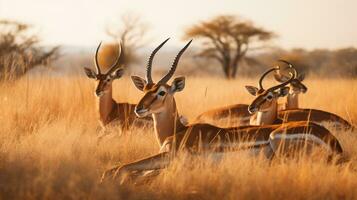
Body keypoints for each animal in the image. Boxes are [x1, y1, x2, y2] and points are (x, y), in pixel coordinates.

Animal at [99, 39, 342, 183]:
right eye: (145, 89)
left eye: (161, 92)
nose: (139, 109)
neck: (177, 131)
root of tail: (335, 144)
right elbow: (122, 169)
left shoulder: (171, 157)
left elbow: (119, 168)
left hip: (275, 139)